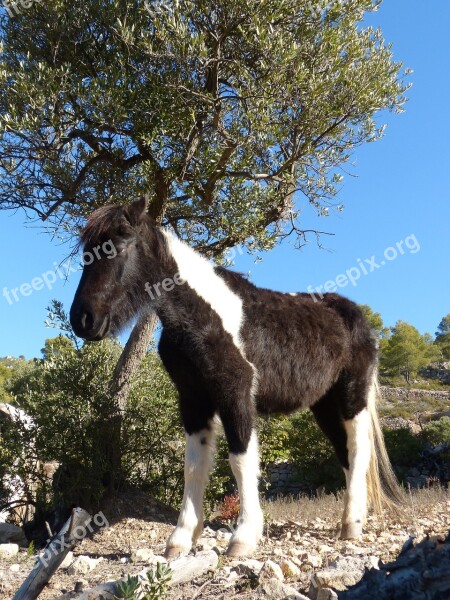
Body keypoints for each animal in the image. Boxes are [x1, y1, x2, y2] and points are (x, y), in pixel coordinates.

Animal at [70, 198, 400, 556]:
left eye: (118, 245)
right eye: (85, 253)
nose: (82, 320)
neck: (202, 317)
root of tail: (356, 316)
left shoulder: (236, 393)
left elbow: (241, 461)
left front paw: (243, 537)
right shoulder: (193, 401)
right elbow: (194, 467)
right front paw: (181, 539)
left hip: (352, 398)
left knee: (358, 450)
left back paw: (352, 525)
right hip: (324, 406)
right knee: (345, 455)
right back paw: (351, 522)